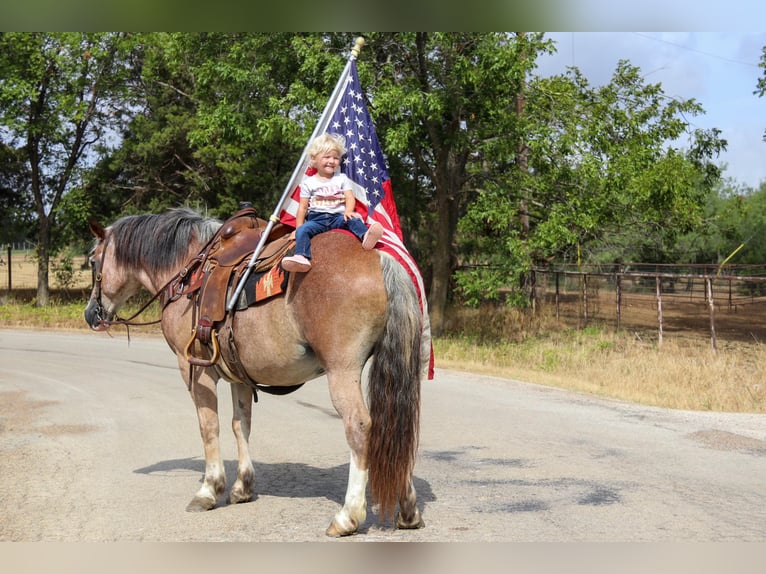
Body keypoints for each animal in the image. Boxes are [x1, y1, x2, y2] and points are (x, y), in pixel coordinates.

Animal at [84, 208, 426, 540]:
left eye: (92, 260)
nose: (91, 314)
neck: (186, 272)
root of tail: (379, 258)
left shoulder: (194, 369)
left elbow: (208, 426)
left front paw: (209, 490)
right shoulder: (239, 374)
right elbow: (241, 424)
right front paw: (242, 487)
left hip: (342, 369)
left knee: (360, 426)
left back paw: (347, 516)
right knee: (396, 424)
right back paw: (408, 511)